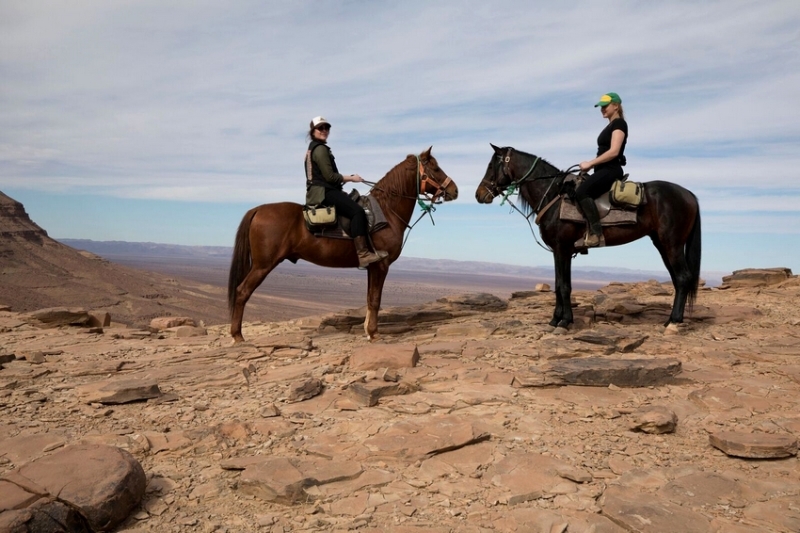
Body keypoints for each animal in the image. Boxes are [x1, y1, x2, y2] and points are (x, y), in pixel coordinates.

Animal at [228, 148, 460, 342]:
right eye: (436, 168)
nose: (455, 190)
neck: (386, 211)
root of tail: (257, 210)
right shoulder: (381, 265)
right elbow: (375, 300)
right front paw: (374, 333)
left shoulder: (372, 266)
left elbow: (369, 299)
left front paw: (368, 331)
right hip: (263, 265)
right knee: (242, 291)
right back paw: (238, 336)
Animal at [476, 143, 700, 330]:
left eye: (491, 165)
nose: (479, 194)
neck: (553, 196)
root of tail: (688, 194)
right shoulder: (560, 251)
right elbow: (559, 284)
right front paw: (556, 319)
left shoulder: (562, 248)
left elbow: (563, 286)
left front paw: (564, 321)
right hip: (662, 244)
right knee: (677, 279)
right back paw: (671, 319)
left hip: (672, 243)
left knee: (682, 277)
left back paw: (674, 322)